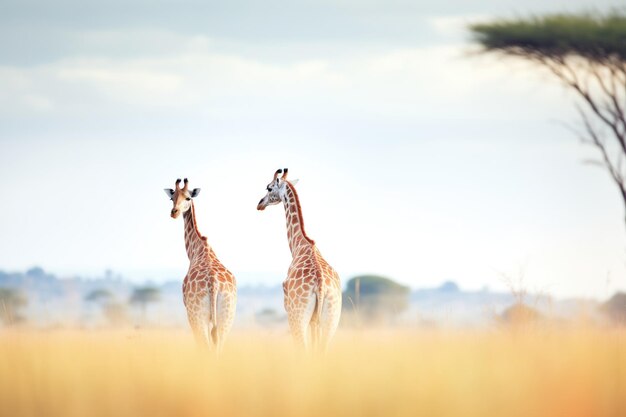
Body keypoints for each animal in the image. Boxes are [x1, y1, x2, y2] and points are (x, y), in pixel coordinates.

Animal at [162, 177, 235, 350]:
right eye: (172, 198)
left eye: (188, 198)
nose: (174, 212)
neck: (197, 248)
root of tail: (214, 285)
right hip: (226, 318)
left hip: (196, 317)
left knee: (205, 347)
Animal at [255, 169, 338, 352]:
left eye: (269, 187)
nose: (260, 204)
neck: (299, 244)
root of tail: (321, 285)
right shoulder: (315, 322)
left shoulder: (288, 307)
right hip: (331, 320)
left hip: (297, 318)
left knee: (302, 349)